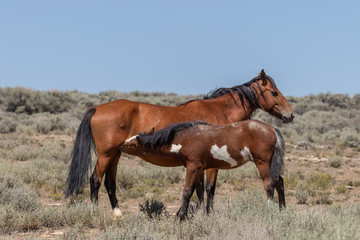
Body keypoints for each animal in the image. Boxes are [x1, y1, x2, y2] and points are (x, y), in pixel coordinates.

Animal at [121, 119, 286, 220]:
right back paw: (282, 210)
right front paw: (201, 214)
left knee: (269, 185)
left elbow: (187, 191)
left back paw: (268, 211)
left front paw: (181, 215)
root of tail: (272, 129)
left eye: (131, 144)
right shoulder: (199, 169)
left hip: (262, 163)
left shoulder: (192, 167)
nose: (121, 145)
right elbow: (200, 191)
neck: (185, 138)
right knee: (279, 182)